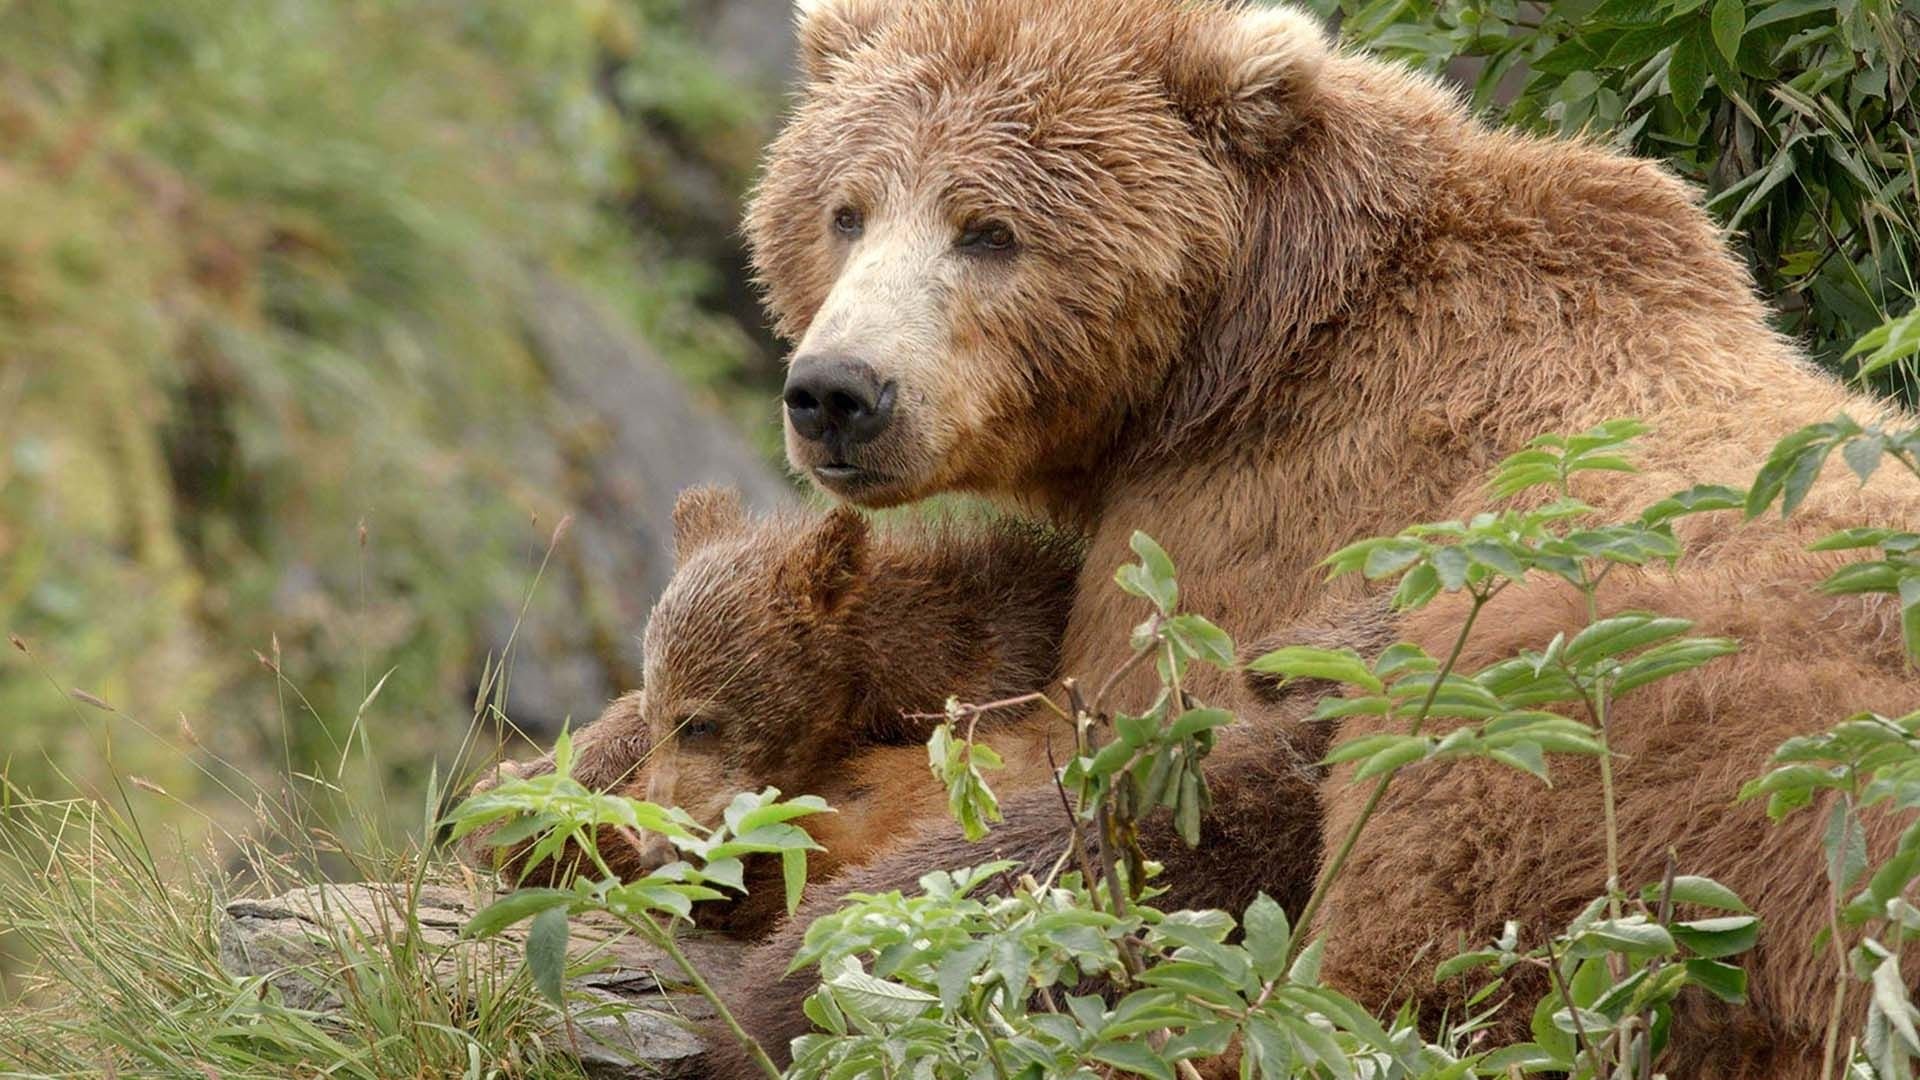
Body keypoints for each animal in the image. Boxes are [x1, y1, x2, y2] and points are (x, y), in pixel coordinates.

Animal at [710, 0, 1920, 1068]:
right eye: (845, 210)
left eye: (990, 230)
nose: (838, 392)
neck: (1240, 343)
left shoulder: (1253, 520)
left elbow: (1070, 748)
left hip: (1597, 707)